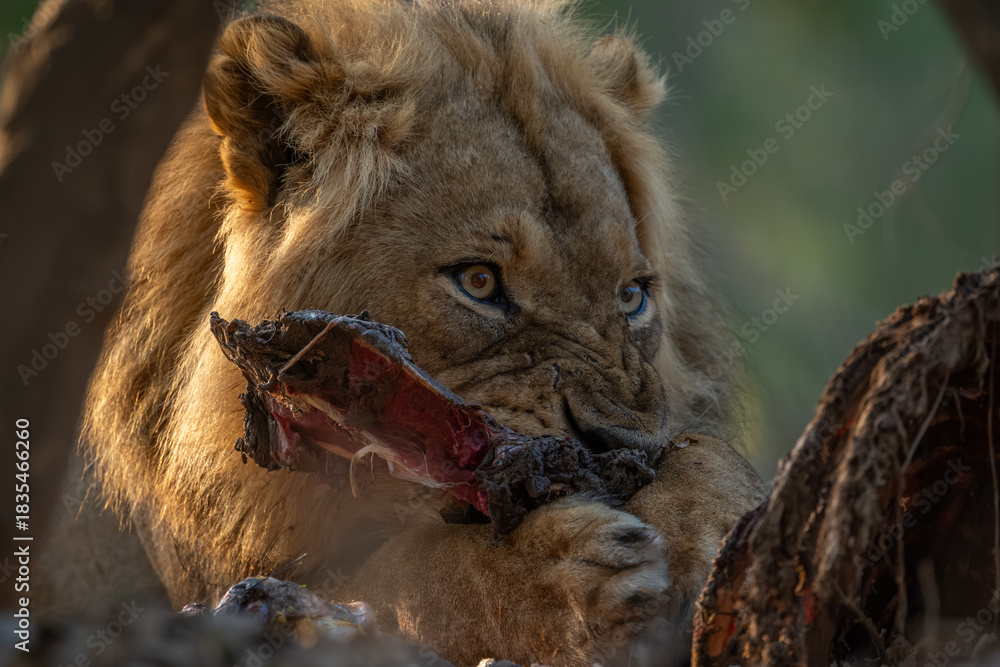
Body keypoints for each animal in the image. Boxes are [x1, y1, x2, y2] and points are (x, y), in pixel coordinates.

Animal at [41, 0, 768, 664]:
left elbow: (704, 448)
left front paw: (708, 522)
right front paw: (566, 581)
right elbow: (412, 577)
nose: (623, 450)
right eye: (479, 281)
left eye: (632, 296)